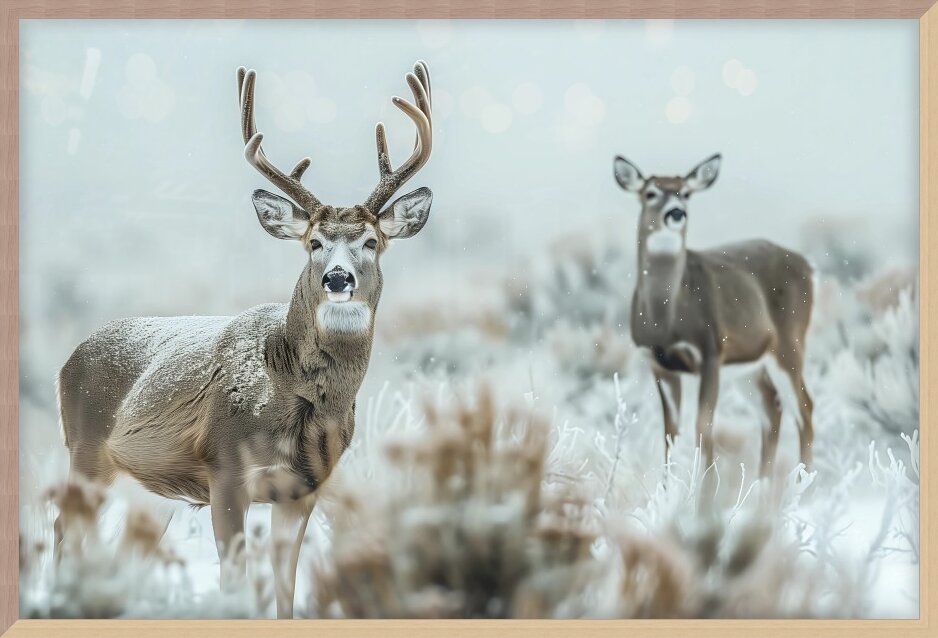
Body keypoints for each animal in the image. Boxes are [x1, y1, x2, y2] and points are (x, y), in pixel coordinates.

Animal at [53, 60, 434, 618]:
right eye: (313, 242)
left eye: (371, 241)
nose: (337, 278)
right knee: (64, 531)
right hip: (85, 453)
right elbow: (233, 583)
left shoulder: (304, 488)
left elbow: (286, 588)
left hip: (147, 489)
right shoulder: (224, 470)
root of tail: (69, 358)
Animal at [612, 154, 814, 478]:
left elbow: (703, 427)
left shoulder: (710, 351)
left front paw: (701, 488)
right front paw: (668, 487)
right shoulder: (659, 363)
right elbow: (670, 431)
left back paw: (805, 484)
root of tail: (809, 266)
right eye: (650, 192)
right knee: (772, 406)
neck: (665, 321)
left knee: (805, 407)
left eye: (686, 193)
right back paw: (764, 485)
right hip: (748, 365)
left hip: (789, 343)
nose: (676, 212)